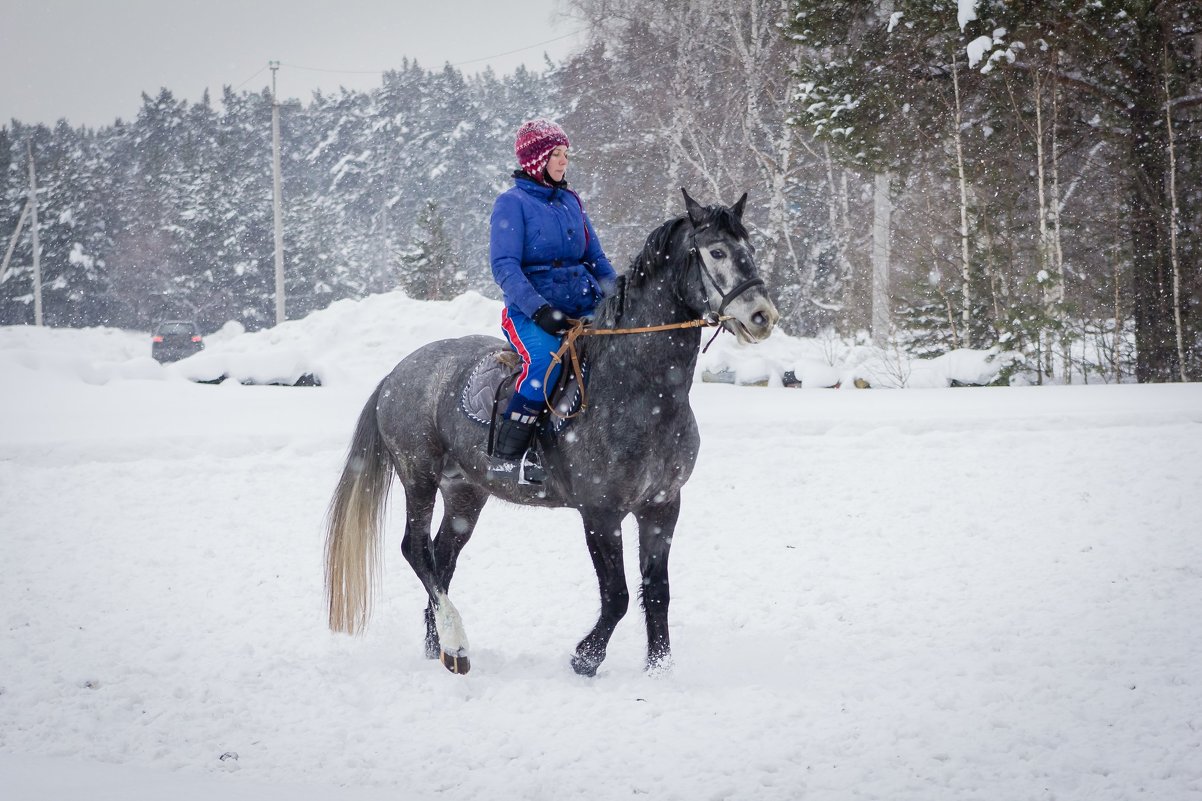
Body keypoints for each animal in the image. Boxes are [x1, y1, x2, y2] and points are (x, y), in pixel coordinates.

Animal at [324, 188, 778, 673]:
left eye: (750, 249)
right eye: (716, 252)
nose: (762, 316)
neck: (641, 389)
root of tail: (397, 373)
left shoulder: (662, 506)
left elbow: (657, 593)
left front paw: (659, 668)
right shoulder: (601, 513)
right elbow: (617, 596)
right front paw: (586, 658)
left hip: (465, 493)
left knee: (441, 558)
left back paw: (440, 646)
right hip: (419, 477)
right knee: (416, 549)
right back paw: (457, 642)